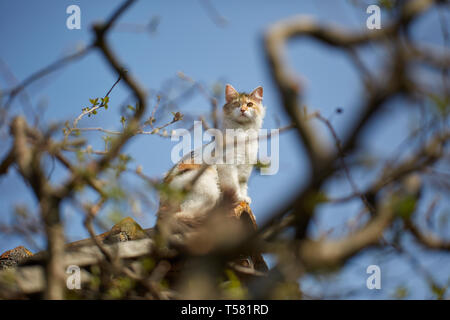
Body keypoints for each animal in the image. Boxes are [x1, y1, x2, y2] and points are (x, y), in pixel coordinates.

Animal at [157, 84, 266, 240]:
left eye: (250, 104)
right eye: (236, 104)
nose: (243, 110)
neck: (244, 134)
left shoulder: (245, 169)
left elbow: (242, 186)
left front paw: (244, 200)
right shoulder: (227, 165)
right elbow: (234, 186)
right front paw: (239, 199)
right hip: (206, 184)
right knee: (186, 214)